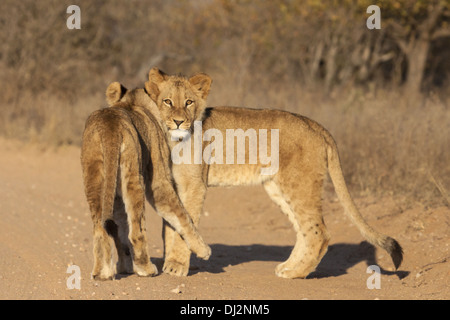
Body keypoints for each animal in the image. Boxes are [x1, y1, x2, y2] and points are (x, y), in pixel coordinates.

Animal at [81, 82, 211, 280]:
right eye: (169, 101)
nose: (178, 122)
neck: (133, 102)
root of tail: (109, 126)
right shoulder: (159, 181)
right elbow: (181, 215)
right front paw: (203, 250)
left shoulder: (116, 196)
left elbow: (121, 232)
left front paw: (125, 267)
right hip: (133, 175)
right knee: (136, 231)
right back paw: (146, 269)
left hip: (94, 178)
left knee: (100, 229)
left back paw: (102, 273)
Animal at [145, 67, 404, 278]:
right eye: (167, 101)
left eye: (189, 102)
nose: (179, 122)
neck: (171, 139)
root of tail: (315, 124)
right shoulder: (170, 186)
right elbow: (170, 226)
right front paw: (169, 263)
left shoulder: (194, 185)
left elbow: (184, 225)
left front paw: (177, 266)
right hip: (278, 187)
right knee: (303, 230)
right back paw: (289, 267)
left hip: (299, 184)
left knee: (319, 232)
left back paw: (297, 273)